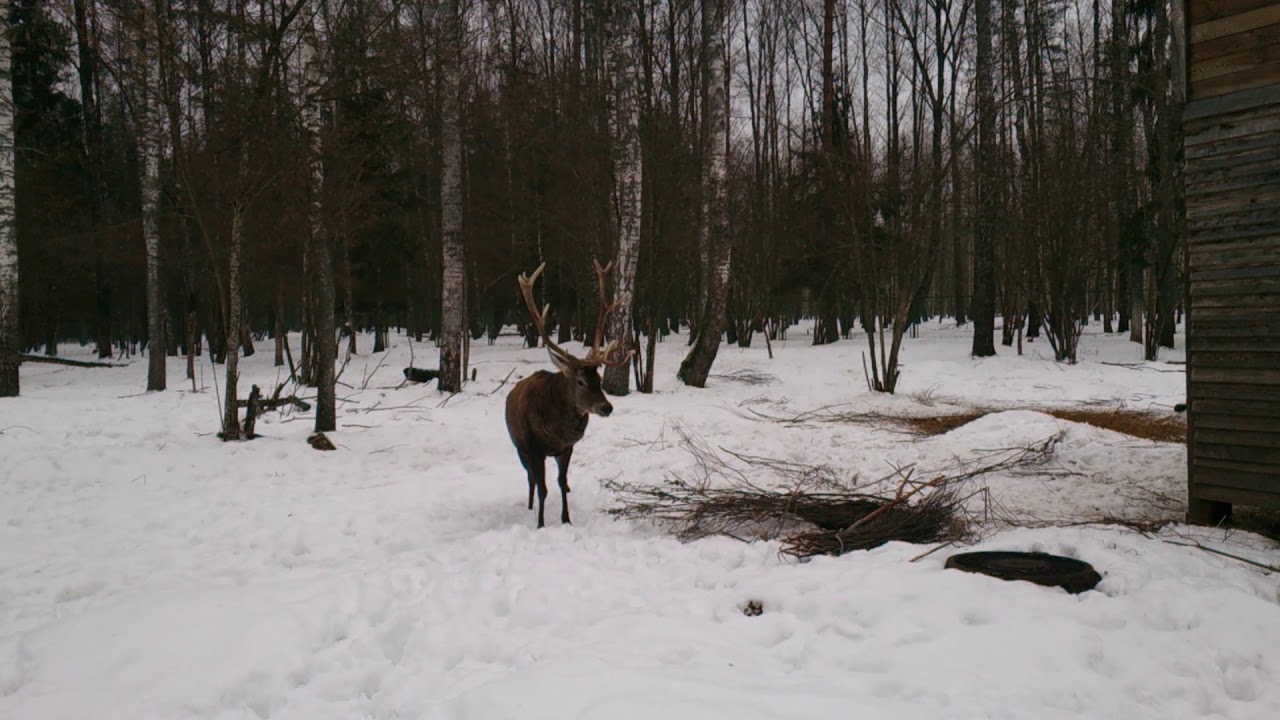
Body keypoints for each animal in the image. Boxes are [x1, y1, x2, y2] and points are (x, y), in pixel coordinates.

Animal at [504, 258, 634, 527]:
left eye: (599, 378)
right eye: (580, 382)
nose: (607, 407)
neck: (557, 431)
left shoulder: (566, 449)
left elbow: (562, 484)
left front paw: (566, 519)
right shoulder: (534, 449)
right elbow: (542, 488)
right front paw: (541, 524)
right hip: (519, 447)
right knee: (530, 480)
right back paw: (530, 508)